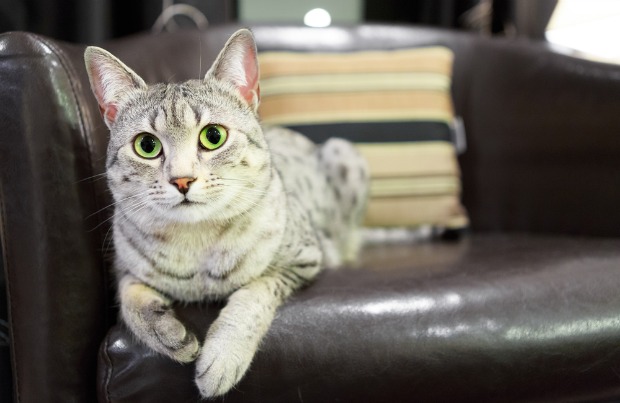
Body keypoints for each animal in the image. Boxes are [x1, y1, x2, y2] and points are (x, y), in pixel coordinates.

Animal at [85, 28, 370, 398]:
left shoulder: (303, 259)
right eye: (146, 145)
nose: (182, 180)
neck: (197, 245)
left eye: (213, 136)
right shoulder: (123, 266)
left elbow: (253, 295)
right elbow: (130, 299)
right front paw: (168, 333)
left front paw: (221, 357)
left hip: (342, 153)